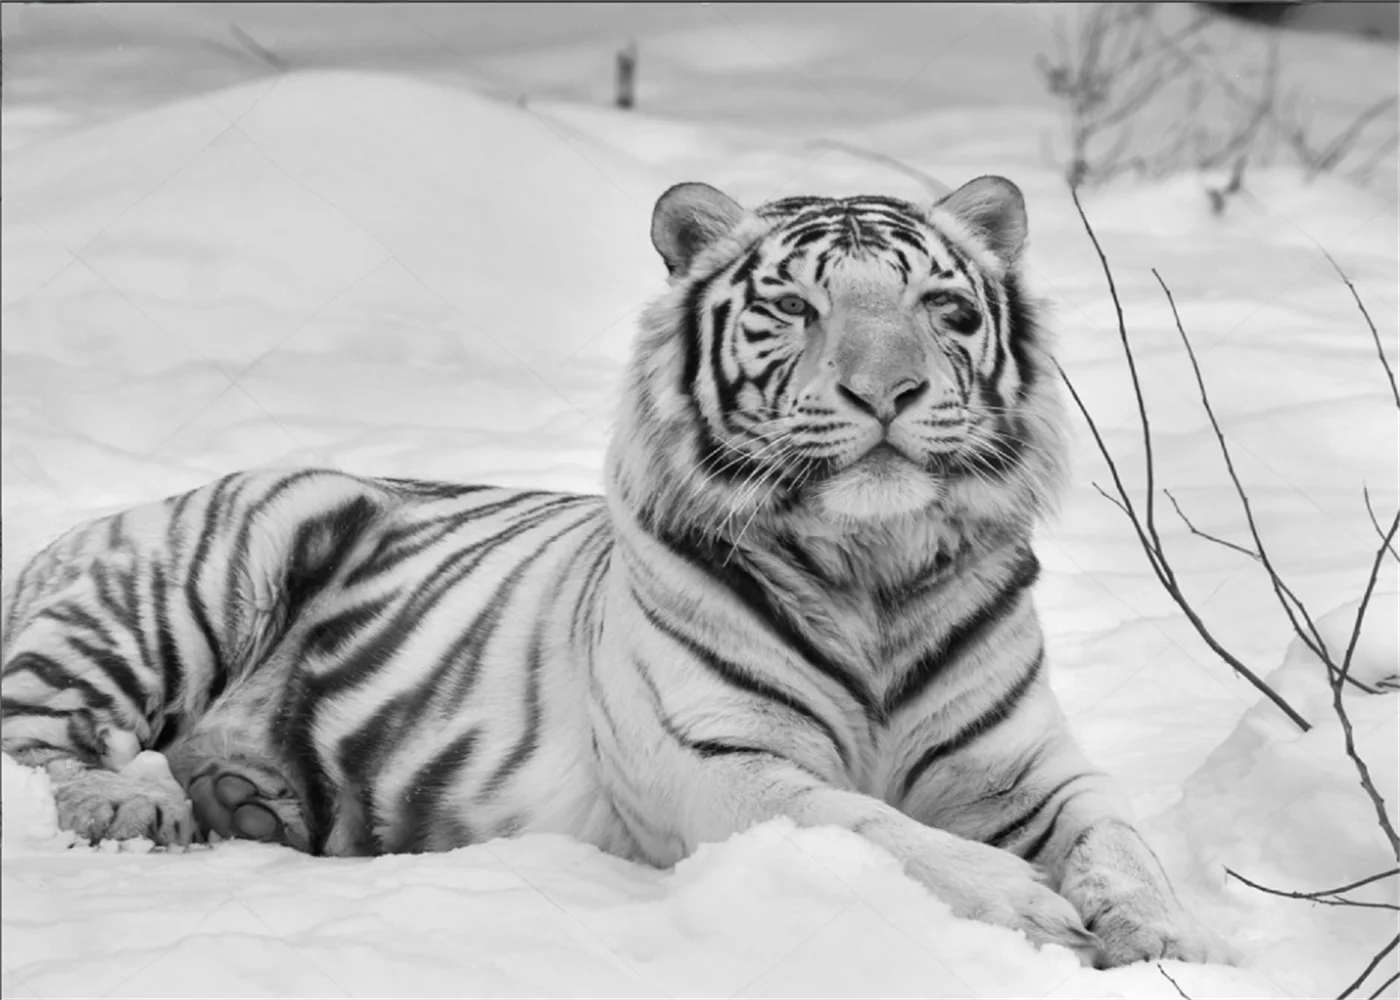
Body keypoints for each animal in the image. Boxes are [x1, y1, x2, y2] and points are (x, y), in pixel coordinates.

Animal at [1, 175, 1233, 969]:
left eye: (943, 308)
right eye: (795, 307)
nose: (887, 392)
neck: (872, 569)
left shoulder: (1029, 767)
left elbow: (1118, 841)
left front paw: (1176, 935)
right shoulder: (717, 765)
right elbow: (874, 828)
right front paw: (1028, 909)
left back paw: (242, 796)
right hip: (207, 569)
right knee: (34, 734)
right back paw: (129, 801)